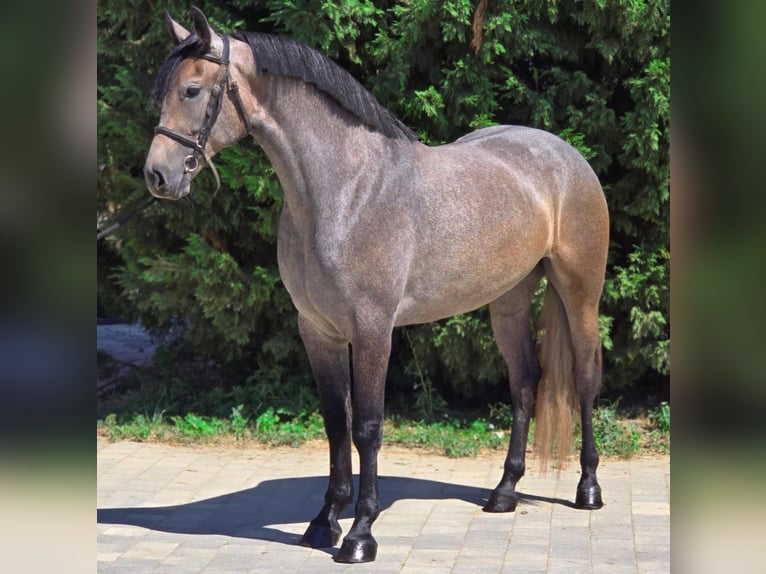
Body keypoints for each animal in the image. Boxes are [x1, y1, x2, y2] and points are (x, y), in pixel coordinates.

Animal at [143, 8, 609, 564]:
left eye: (192, 90)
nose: (157, 176)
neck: (347, 190)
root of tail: (565, 155)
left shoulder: (371, 331)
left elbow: (367, 427)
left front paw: (361, 533)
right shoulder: (318, 332)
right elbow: (335, 422)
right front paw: (324, 522)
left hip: (580, 293)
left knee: (584, 378)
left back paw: (587, 488)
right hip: (509, 302)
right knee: (525, 384)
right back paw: (503, 493)